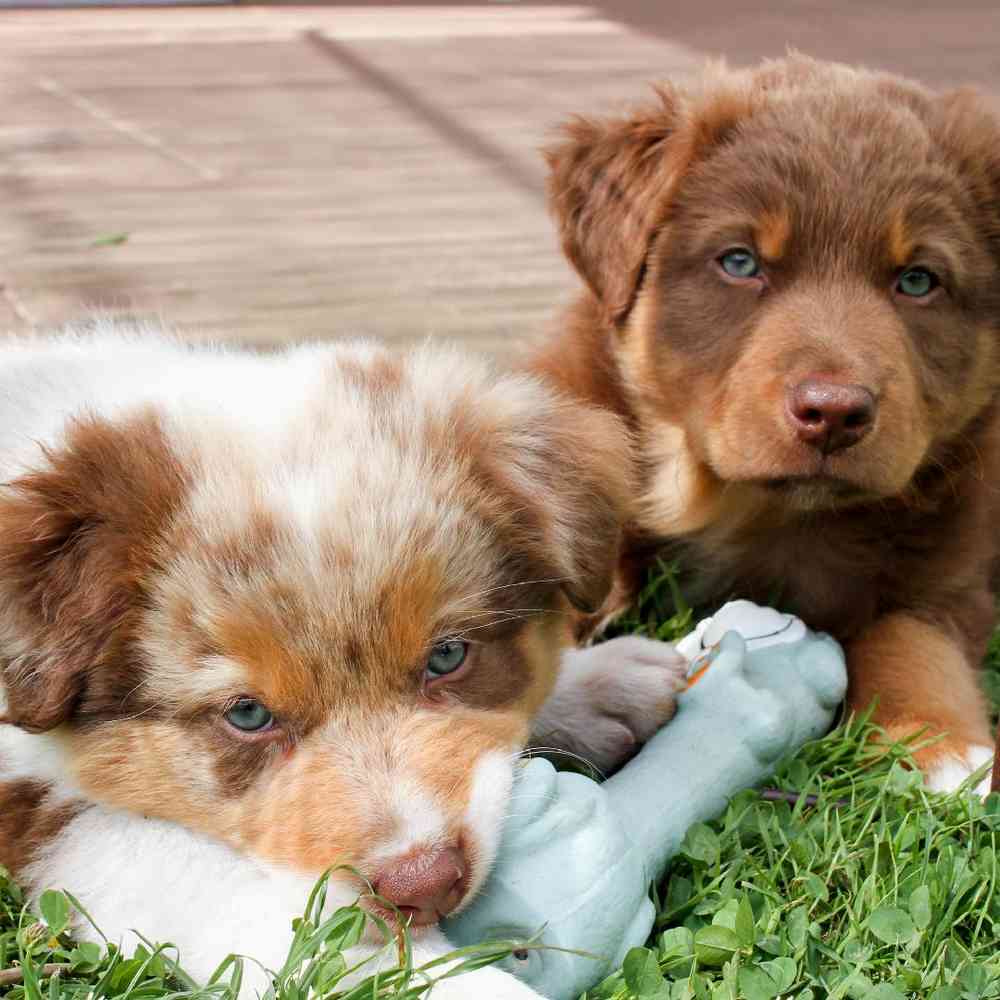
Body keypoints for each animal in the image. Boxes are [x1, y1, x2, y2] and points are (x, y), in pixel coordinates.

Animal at [536, 54, 1000, 792]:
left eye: (918, 280)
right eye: (740, 262)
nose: (833, 412)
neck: (743, 509)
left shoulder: (948, 558)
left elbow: (912, 635)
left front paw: (939, 744)